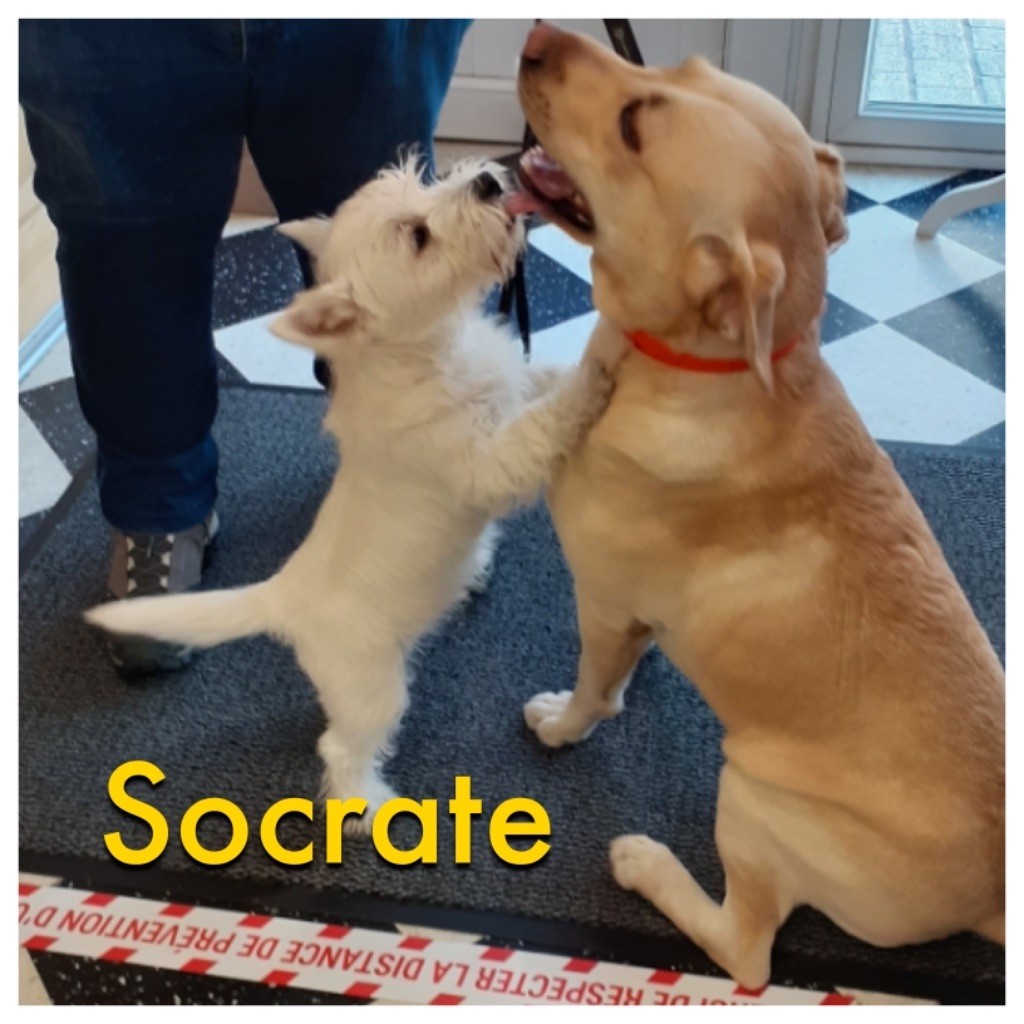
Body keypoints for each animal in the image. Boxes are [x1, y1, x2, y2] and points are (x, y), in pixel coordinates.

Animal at [86, 157, 615, 825]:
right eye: (418, 236)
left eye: (421, 182)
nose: (489, 183)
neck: (428, 348)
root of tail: (283, 595)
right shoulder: (485, 464)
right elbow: (539, 426)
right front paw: (594, 378)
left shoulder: (508, 385)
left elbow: (536, 380)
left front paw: (579, 366)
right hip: (373, 687)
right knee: (340, 748)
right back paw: (370, 803)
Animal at [510, 23, 1004, 986]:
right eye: (681, 66)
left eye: (633, 126)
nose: (541, 33)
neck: (703, 361)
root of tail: (992, 895)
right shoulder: (630, 612)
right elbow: (625, 663)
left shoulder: (603, 597)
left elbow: (591, 689)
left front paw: (566, 722)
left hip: (752, 795)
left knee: (746, 951)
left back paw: (647, 864)